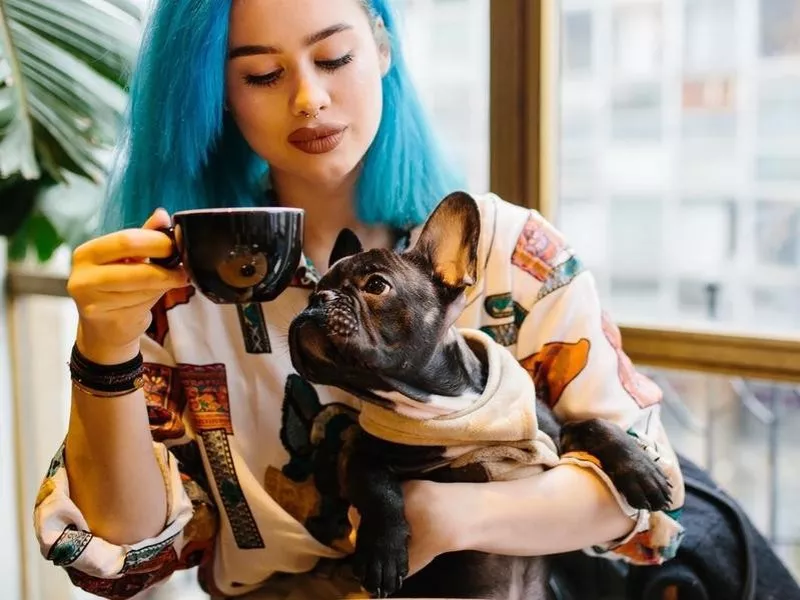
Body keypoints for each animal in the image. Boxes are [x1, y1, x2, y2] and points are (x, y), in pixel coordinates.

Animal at [290, 192, 672, 600]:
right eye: (314, 290)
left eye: (376, 286)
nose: (318, 299)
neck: (447, 403)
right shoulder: (356, 452)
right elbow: (379, 489)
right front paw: (382, 552)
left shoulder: (554, 435)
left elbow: (594, 424)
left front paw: (642, 471)